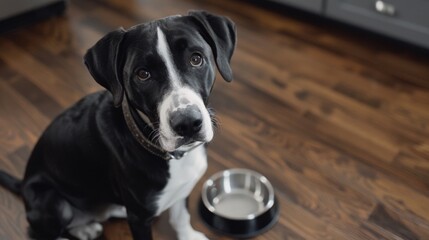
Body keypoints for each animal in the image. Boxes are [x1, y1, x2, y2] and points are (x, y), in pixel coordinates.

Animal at [0, 10, 236, 239]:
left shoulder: (182, 189)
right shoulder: (139, 218)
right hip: (52, 201)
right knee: (40, 230)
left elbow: (181, 216)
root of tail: (23, 184)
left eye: (196, 59)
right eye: (143, 74)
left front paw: (188, 235)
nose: (187, 123)